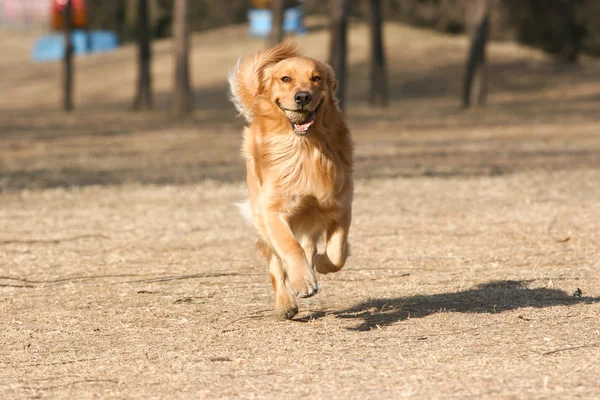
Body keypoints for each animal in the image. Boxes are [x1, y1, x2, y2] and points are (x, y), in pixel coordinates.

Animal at [229, 43, 352, 318]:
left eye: (316, 78)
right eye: (285, 79)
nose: (302, 97)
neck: (304, 147)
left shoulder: (340, 205)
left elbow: (337, 251)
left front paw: (323, 264)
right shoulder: (273, 211)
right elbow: (290, 247)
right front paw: (303, 282)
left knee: (308, 247)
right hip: (262, 220)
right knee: (277, 263)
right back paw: (286, 302)